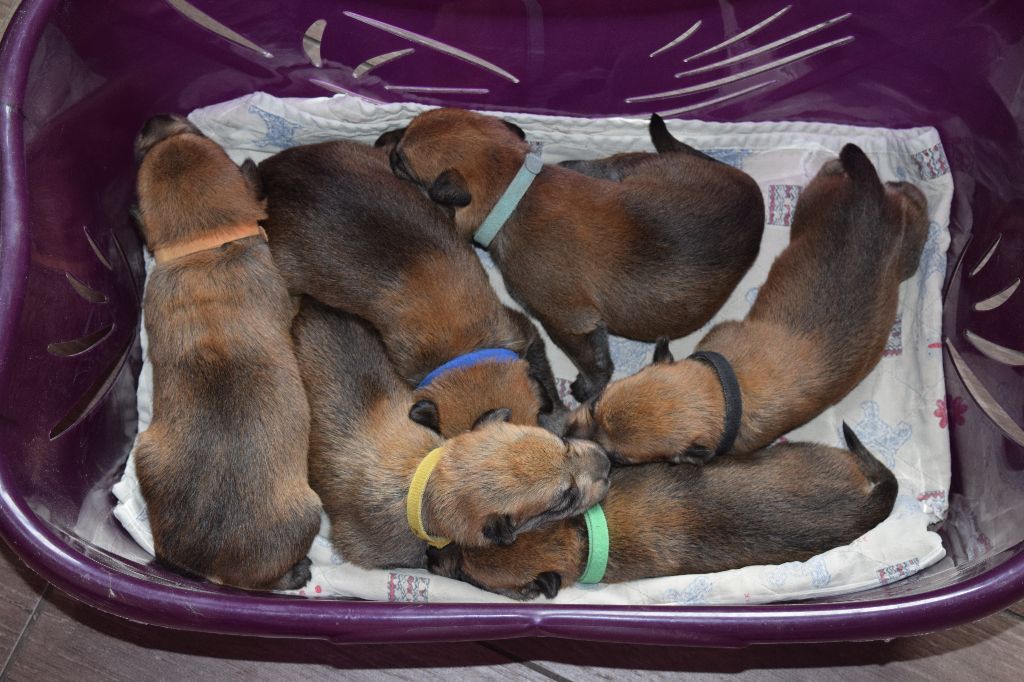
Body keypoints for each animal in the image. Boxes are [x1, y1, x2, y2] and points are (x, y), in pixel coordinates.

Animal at [131, 114, 319, 585]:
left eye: (192, 132)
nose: (154, 119)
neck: (203, 245)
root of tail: (208, 565)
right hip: (307, 513)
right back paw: (295, 575)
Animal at [565, 142, 933, 462]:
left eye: (618, 458)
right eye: (595, 404)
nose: (566, 434)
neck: (724, 389)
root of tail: (872, 197)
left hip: (846, 221)